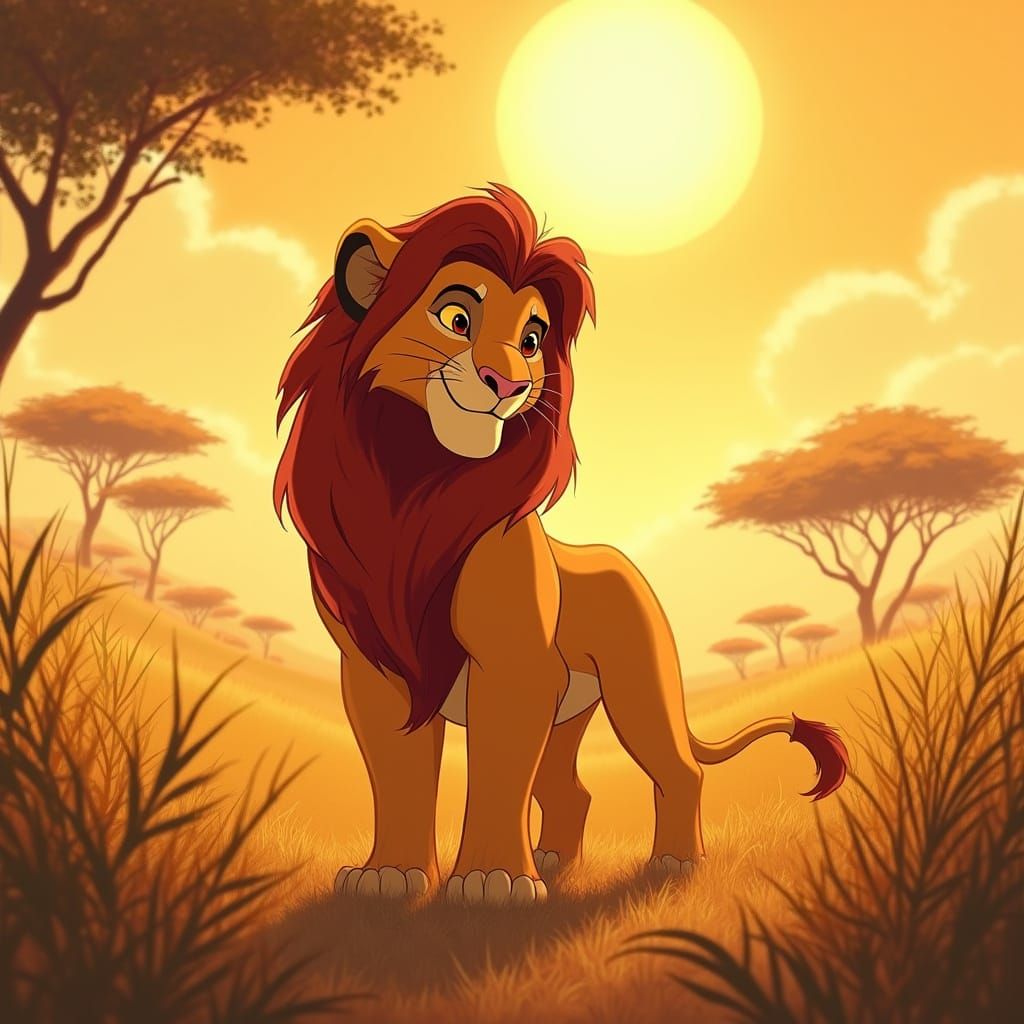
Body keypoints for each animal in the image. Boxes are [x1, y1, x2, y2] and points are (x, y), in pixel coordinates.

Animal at [274, 185, 849, 906]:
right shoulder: (377, 670)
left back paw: (675, 863)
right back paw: (553, 858)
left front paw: (490, 880)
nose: (510, 384)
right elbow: (399, 774)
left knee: (679, 770)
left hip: (637, 688)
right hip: (564, 716)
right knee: (571, 790)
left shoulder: (515, 665)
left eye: (532, 338)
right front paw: (391, 876)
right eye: (456, 316)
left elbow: (496, 774)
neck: (409, 480)